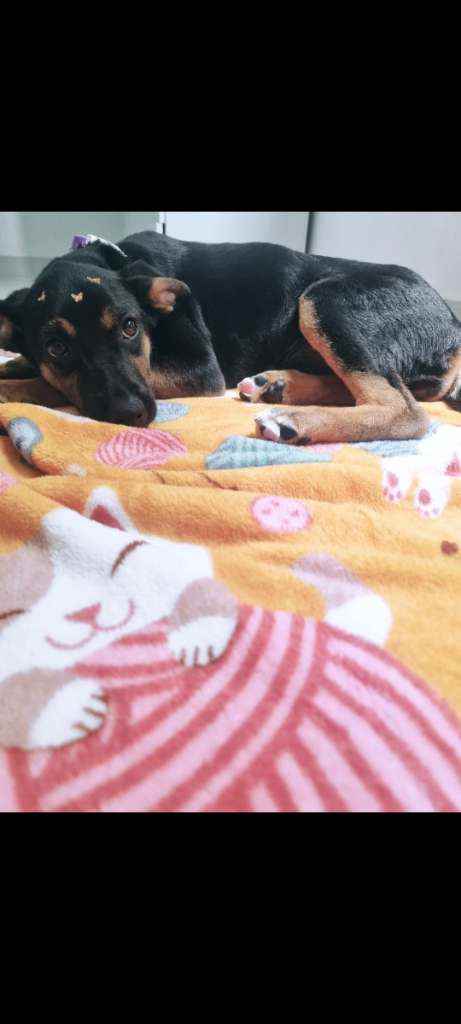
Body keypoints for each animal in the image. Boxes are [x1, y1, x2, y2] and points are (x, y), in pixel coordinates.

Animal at [1, 229, 460, 445]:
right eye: (56, 347)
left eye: (131, 326)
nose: (131, 414)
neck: (116, 259)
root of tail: (451, 322)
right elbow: (33, 368)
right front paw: (16, 365)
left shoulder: (202, 371)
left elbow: (46, 385)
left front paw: (13, 387)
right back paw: (277, 385)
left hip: (324, 299)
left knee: (404, 408)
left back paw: (294, 420)